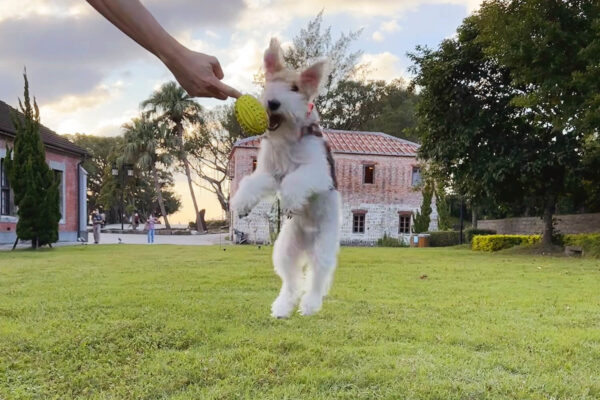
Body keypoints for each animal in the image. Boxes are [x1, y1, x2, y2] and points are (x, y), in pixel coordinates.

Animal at [231, 39, 340, 318]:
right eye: (271, 82)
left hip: (323, 248)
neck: (288, 137)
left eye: (294, 88)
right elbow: (251, 183)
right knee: (291, 282)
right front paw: (241, 204)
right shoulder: (269, 173)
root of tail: (307, 244)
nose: (273, 103)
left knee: (316, 280)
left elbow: (296, 181)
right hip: (285, 250)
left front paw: (291, 201)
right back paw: (282, 307)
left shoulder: (317, 171)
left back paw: (310, 306)